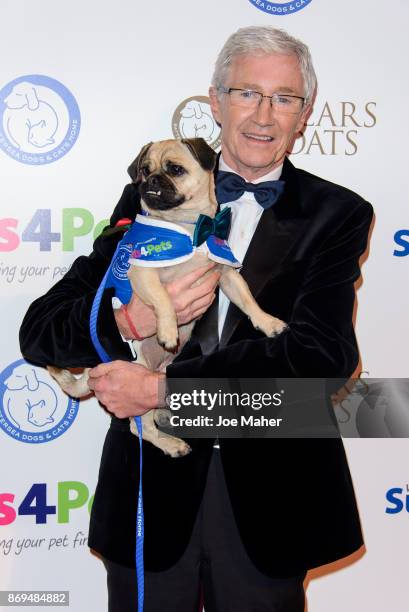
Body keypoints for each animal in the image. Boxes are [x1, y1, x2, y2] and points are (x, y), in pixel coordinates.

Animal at [47, 137, 286, 454]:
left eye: (175, 169)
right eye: (144, 170)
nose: (151, 179)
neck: (189, 227)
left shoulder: (226, 274)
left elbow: (248, 300)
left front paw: (268, 322)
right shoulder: (144, 273)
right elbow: (163, 299)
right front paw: (168, 330)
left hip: (166, 369)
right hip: (135, 372)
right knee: (140, 428)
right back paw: (171, 443)